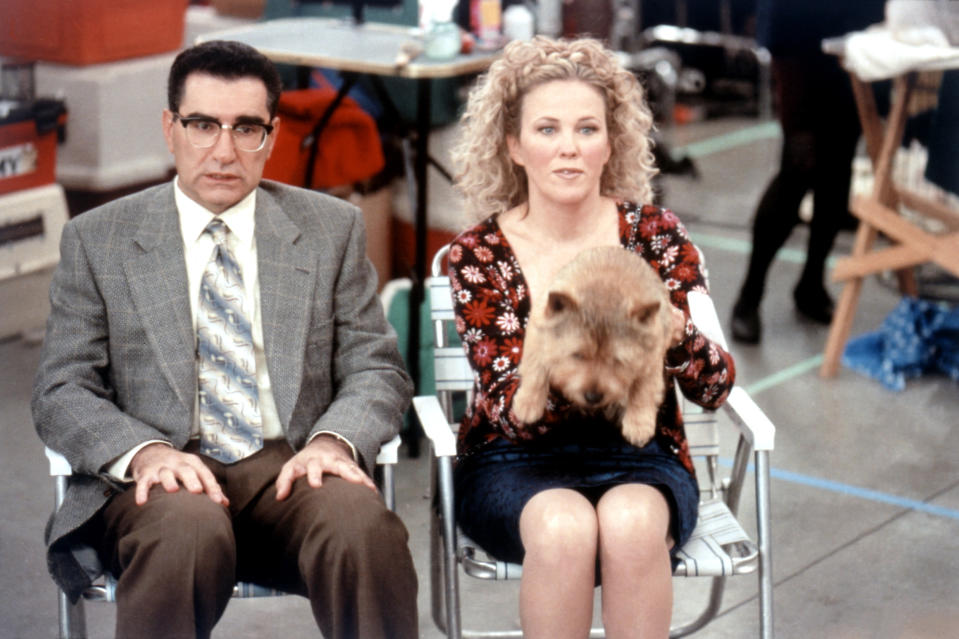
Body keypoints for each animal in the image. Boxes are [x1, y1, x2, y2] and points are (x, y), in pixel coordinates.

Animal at [510, 248, 676, 448]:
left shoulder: (652, 356)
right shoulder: (537, 330)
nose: (593, 397)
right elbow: (535, 367)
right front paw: (527, 404)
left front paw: (638, 425)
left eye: (617, 361)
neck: (604, 288)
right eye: (577, 355)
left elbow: (643, 388)